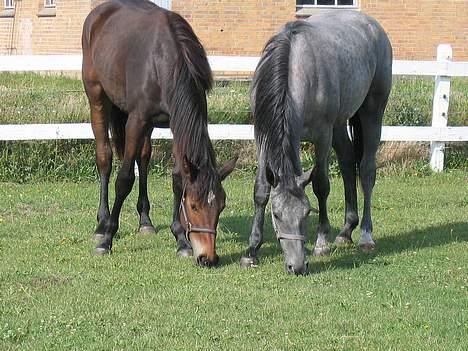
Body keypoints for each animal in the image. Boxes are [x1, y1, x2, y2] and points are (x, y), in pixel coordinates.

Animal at [82, 0, 236, 266]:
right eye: (193, 206)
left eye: (221, 206)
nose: (208, 258)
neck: (165, 62)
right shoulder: (136, 120)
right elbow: (124, 180)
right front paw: (107, 239)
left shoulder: (176, 122)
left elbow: (177, 179)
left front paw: (181, 240)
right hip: (97, 99)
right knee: (105, 158)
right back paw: (101, 224)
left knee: (143, 158)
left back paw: (145, 221)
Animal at [241, 10, 392, 276]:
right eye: (276, 215)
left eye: (306, 214)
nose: (297, 266)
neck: (294, 68)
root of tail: (374, 26)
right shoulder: (262, 137)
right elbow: (261, 190)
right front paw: (252, 250)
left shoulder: (322, 136)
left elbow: (321, 185)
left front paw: (321, 242)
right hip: (340, 125)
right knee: (347, 162)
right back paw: (346, 231)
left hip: (372, 112)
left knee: (366, 171)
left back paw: (365, 235)